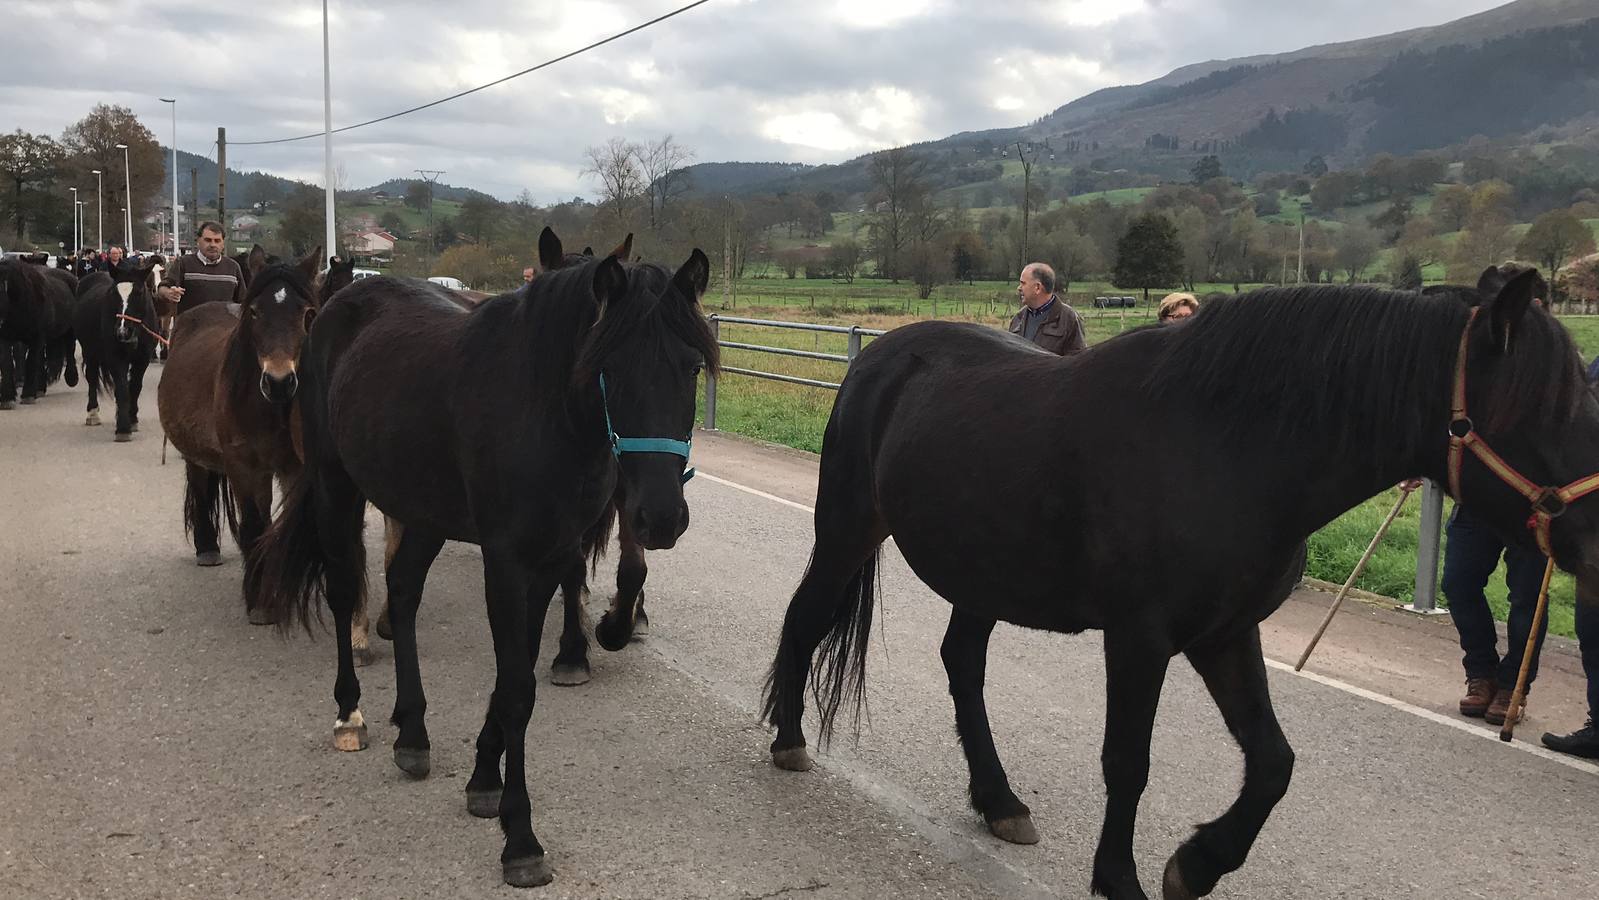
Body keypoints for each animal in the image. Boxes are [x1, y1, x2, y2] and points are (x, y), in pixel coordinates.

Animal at [77, 257, 161, 441]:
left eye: (139, 292)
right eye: (113, 293)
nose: (123, 331)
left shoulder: (142, 359)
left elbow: (134, 387)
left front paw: (132, 418)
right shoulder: (116, 357)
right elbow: (122, 388)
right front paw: (123, 428)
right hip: (90, 352)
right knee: (92, 377)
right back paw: (92, 414)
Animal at [757, 266, 1599, 900]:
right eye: (1548, 409)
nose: (1594, 545)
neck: (1228, 446)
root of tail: (880, 356)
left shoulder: (1225, 634)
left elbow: (1272, 763)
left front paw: (1196, 865)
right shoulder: (1140, 639)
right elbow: (1127, 762)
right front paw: (1121, 879)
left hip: (983, 573)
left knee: (961, 664)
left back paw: (998, 801)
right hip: (845, 531)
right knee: (804, 620)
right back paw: (789, 739)